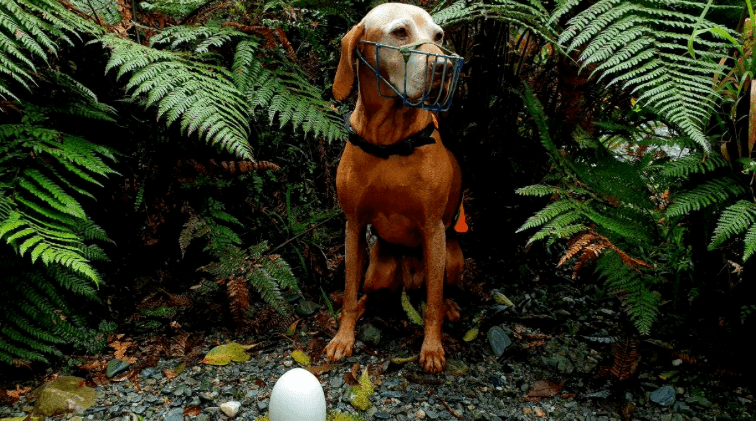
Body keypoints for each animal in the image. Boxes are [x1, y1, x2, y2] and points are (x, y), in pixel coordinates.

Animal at [324, 2, 464, 370]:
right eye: (400, 32)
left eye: (438, 36)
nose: (444, 67)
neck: (389, 141)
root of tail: (409, 278)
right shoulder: (354, 225)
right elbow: (348, 290)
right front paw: (343, 338)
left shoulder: (433, 229)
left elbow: (432, 304)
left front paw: (432, 348)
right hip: (378, 269)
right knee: (369, 293)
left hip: (451, 257)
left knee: (438, 292)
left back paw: (450, 306)